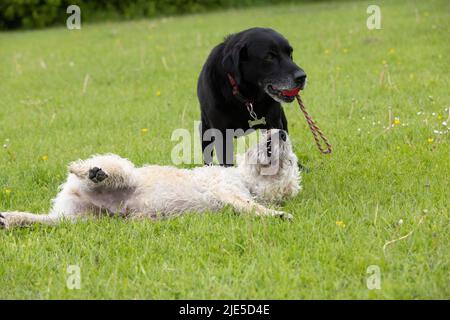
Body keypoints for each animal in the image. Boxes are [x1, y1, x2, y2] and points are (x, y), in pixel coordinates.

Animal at [0, 127, 302, 228]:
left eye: (289, 161)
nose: (283, 133)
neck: (247, 179)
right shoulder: (226, 190)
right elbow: (252, 206)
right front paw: (277, 215)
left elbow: (250, 207)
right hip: (124, 171)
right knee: (98, 168)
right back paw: (93, 171)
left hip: (76, 219)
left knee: (43, 220)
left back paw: (12, 219)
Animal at [197, 26, 306, 165]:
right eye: (269, 56)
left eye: (290, 53)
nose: (302, 77)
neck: (246, 97)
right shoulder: (221, 135)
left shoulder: (274, 123)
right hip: (205, 130)